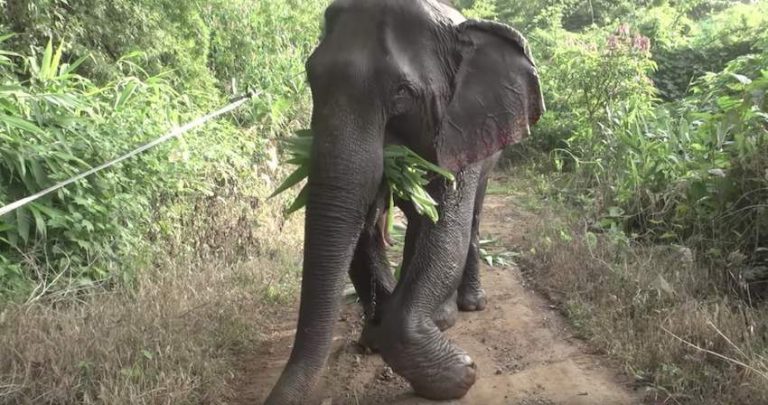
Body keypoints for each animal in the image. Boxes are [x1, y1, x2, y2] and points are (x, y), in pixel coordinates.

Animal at [265, 0, 544, 403]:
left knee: (470, 222)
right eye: (311, 78)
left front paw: (458, 375)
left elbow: (446, 230)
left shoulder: (460, 128)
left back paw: (467, 306)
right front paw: (375, 336)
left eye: (401, 92)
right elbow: (366, 234)